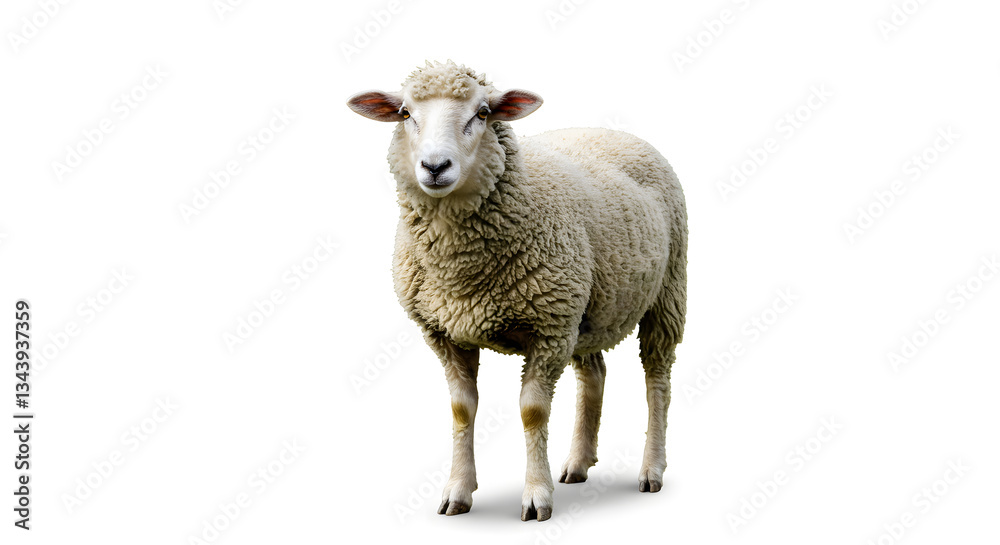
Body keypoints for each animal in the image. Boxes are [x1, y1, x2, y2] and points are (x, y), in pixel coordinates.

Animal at [347, 61, 687, 522]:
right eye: (404, 113)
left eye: (483, 113)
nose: (435, 166)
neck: (462, 273)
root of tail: (609, 131)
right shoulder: (445, 332)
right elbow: (461, 409)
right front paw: (457, 491)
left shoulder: (548, 330)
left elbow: (532, 411)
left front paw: (536, 496)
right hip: (587, 308)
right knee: (594, 373)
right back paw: (578, 463)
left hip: (665, 292)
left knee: (657, 379)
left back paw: (651, 469)